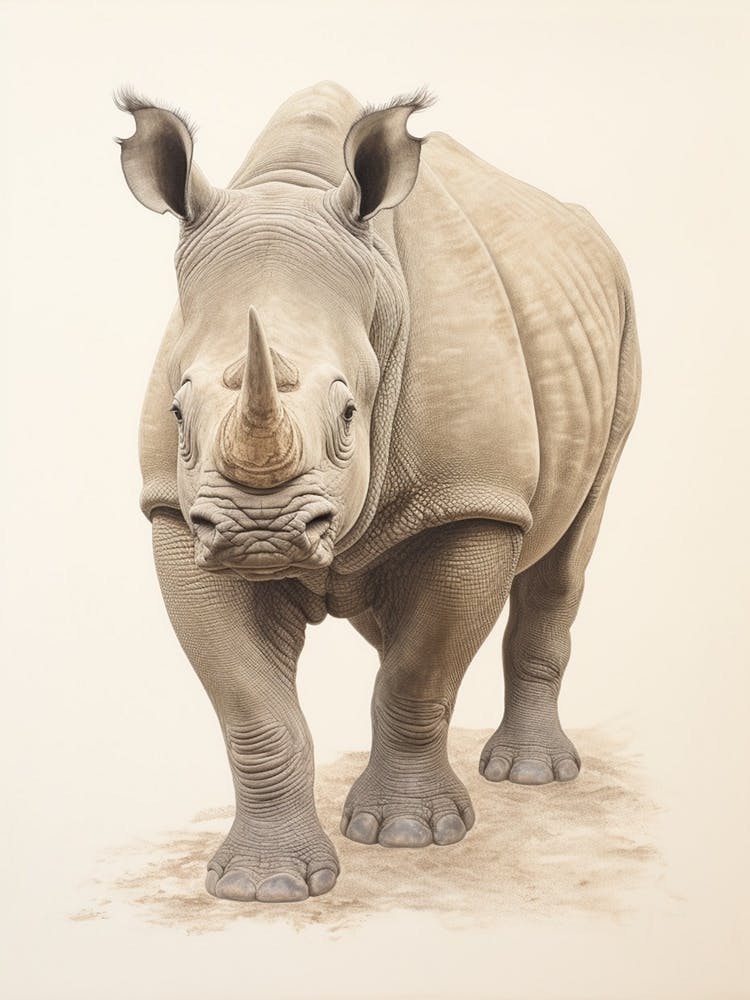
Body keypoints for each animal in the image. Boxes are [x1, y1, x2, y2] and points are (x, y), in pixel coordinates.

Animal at [117, 81, 640, 903]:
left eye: (348, 414)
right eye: (177, 411)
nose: (260, 534)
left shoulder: (472, 498)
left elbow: (421, 673)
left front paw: (409, 836)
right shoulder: (174, 509)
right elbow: (252, 710)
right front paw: (264, 888)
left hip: (620, 329)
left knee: (566, 550)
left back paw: (529, 776)